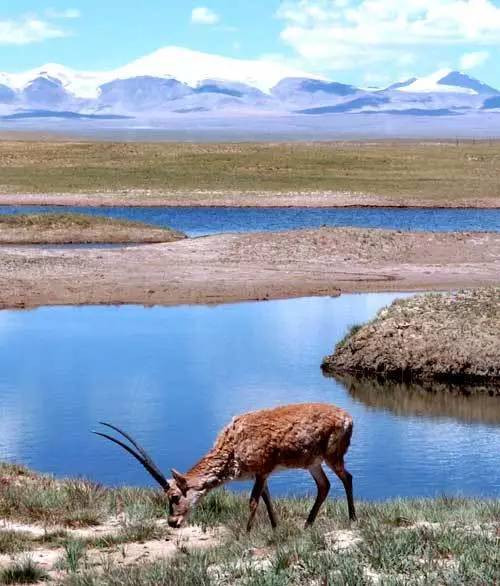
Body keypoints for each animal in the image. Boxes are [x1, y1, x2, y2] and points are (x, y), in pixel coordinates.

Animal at [94, 402, 356, 528]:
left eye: (175, 497)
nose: (172, 522)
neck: (233, 443)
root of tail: (348, 417)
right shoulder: (260, 475)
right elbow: (267, 499)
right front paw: (275, 528)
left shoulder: (262, 470)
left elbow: (253, 502)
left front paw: (246, 534)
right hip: (313, 463)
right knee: (324, 486)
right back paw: (307, 525)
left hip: (332, 456)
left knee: (347, 478)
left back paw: (352, 520)